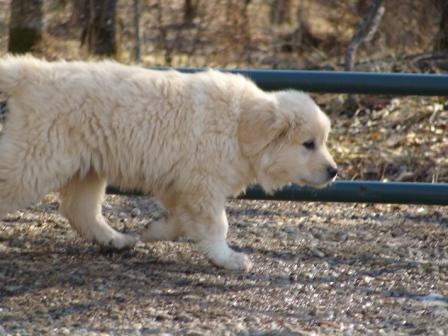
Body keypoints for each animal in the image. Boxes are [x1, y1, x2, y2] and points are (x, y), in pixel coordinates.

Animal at [0, 55, 336, 270]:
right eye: (308, 144)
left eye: (323, 141)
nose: (334, 171)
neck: (239, 126)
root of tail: (32, 72)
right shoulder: (203, 184)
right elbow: (217, 224)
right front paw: (227, 259)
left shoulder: (180, 183)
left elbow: (181, 221)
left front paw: (154, 231)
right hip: (35, 159)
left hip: (88, 166)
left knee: (80, 210)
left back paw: (116, 240)